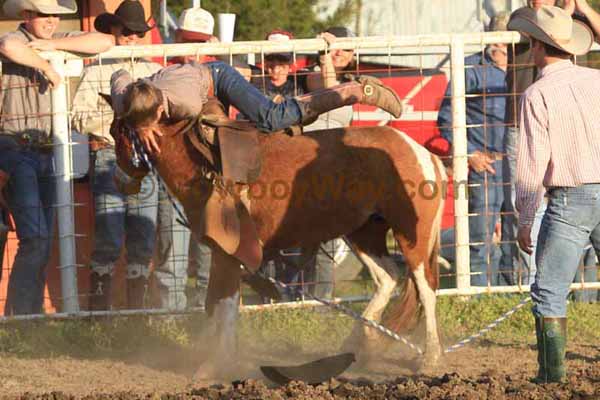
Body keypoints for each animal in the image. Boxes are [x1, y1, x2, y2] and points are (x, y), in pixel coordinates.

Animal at [109, 104, 446, 376]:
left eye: (120, 131)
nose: (121, 181)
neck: (205, 165)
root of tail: (422, 153)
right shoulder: (221, 253)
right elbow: (214, 302)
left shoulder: (229, 254)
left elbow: (224, 303)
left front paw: (216, 363)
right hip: (363, 232)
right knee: (388, 277)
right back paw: (356, 343)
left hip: (412, 237)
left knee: (426, 289)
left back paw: (430, 358)